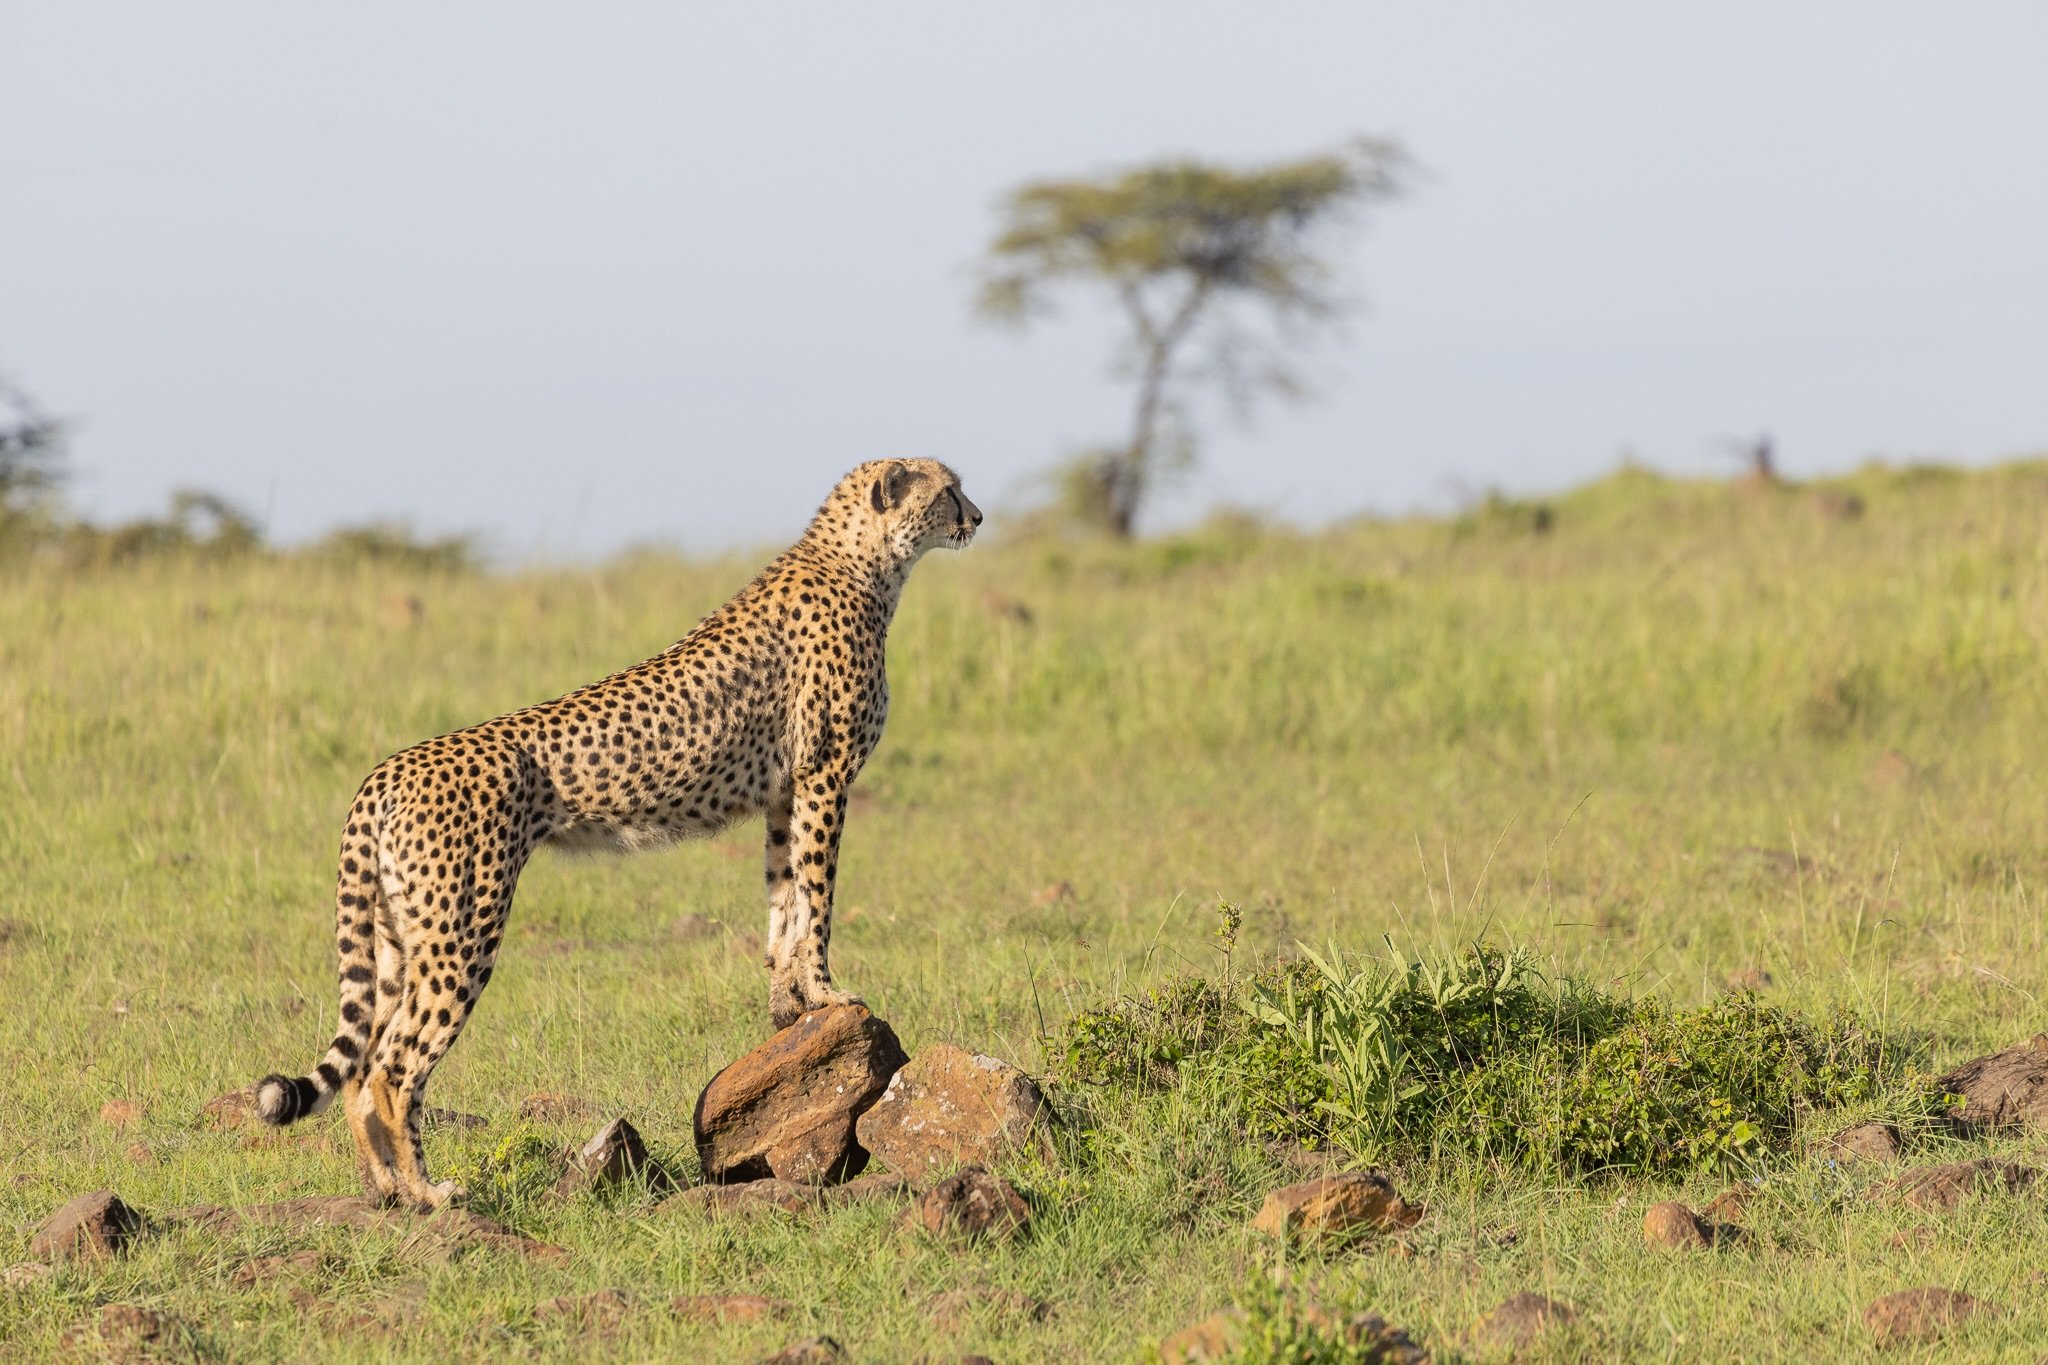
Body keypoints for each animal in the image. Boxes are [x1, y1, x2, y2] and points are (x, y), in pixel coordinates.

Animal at [252, 458, 981, 1210]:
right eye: (948, 489)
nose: (978, 517)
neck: (862, 561)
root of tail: (387, 768)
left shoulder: (785, 795)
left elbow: (785, 898)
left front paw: (790, 1002)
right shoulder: (823, 777)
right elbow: (818, 896)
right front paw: (828, 992)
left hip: (399, 936)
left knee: (362, 1065)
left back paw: (384, 1188)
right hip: (461, 932)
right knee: (391, 1068)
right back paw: (428, 1192)